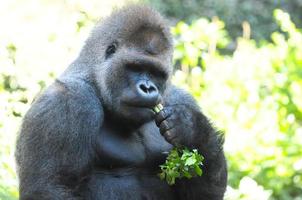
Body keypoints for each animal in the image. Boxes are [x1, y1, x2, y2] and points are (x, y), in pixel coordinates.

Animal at [14, 3, 226, 199]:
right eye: (136, 67)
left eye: (156, 73)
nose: (148, 88)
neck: (96, 81)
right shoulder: (65, 103)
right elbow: (51, 186)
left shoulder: (182, 98)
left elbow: (202, 191)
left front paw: (193, 129)